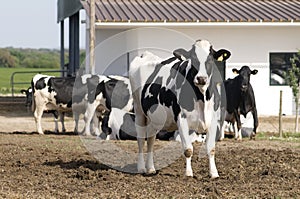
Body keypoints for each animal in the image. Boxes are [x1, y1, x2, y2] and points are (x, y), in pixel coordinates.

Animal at [128, 40, 230, 177]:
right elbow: (188, 149)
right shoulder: (181, 119)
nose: (201, 78)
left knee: (150, 140)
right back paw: (141, 168)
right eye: (193, 58)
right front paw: (188, 173)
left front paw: (214, 173)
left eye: (210, 59)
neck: (202, 98)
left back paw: (151, 168)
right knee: (140, 140)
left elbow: (211, 148)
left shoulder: (213, 120)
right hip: (139, 111)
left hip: (154, 118)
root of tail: (145, 55)